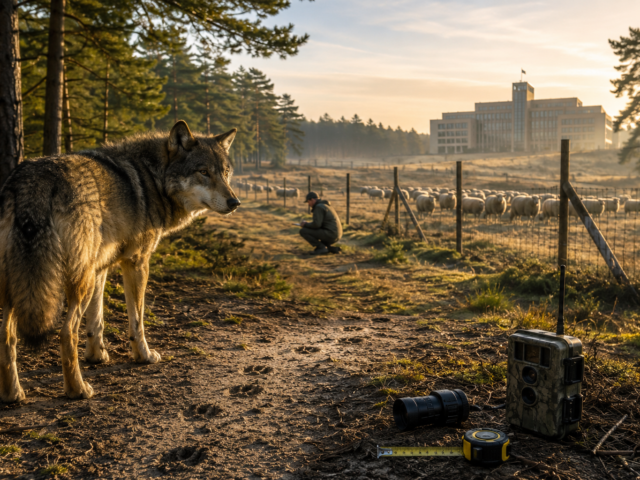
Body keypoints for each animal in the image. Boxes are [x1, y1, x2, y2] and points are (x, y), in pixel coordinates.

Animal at [0, 121, 240, 402]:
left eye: (225, 173)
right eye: (203, 172)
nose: (235, 202)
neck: (153, 179)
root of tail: (35, 180)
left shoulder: (100, 269)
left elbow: (97, 321)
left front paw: (97, 356)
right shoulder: (137, 263)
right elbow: (137, 320)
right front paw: (144, 356)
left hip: (22, 283)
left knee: (7, 335)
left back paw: (12, 394)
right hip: (77, 282)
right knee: (66, 332)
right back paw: (78, 390)